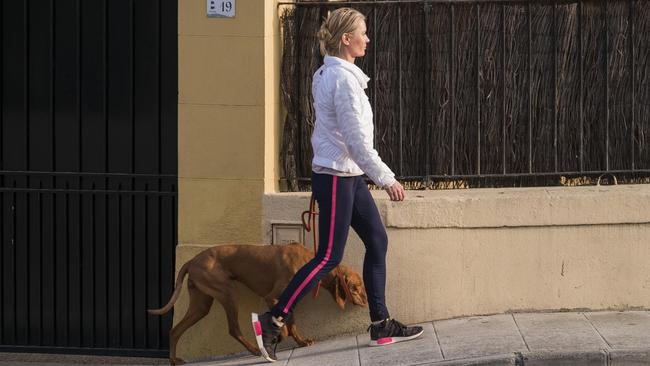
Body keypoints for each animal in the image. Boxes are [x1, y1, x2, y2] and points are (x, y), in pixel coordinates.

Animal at [149, 242, 368, 364]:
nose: (367, 301)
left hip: (201, 304)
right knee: (233, 329)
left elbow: (292, 323)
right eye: (357, 286)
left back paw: (174, 360)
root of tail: (191, 261)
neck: (312, 263)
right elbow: (283, 321)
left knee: (175, 330)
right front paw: (281, 336)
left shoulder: (290, 301)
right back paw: (255, 350)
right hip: (228, 292)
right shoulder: (272, 297)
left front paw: (301, 341)